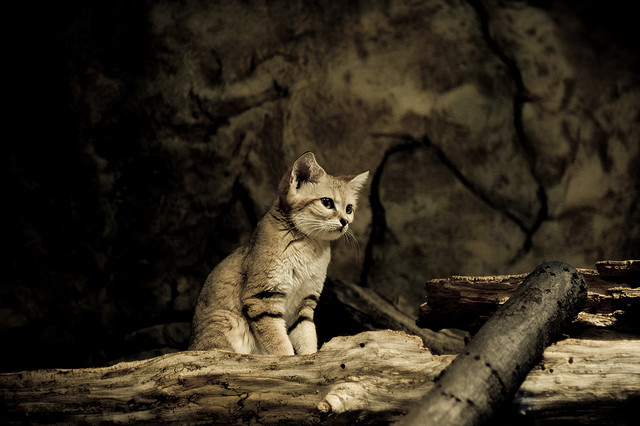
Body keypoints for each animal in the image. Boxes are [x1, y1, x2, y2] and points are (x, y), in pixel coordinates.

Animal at [189, 153, 370, 356]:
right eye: (327, 202)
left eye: (349, 209)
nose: (345, 221)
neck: (311, 247)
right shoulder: (262, 298)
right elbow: (280, 344)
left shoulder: (304, 304)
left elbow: (307, 337)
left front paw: (310, 357)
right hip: (228, 322)